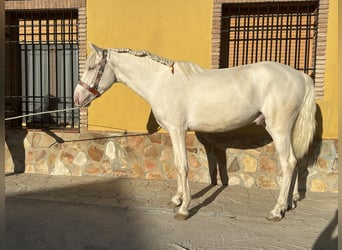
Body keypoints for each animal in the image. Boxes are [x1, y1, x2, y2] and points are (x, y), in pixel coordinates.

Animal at [74, 43, 316, 221]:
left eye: (91, 67)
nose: (77, 98)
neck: (161, 83)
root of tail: (300, 76)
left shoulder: (177, 130)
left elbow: (183, 167)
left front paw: (183, 209)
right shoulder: (176, 133)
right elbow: (178, 165)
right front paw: (177, 199)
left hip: (279, 128)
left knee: (288, 163)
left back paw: (276, 211)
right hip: (288, 130)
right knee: (296, 161)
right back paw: (290, 203)